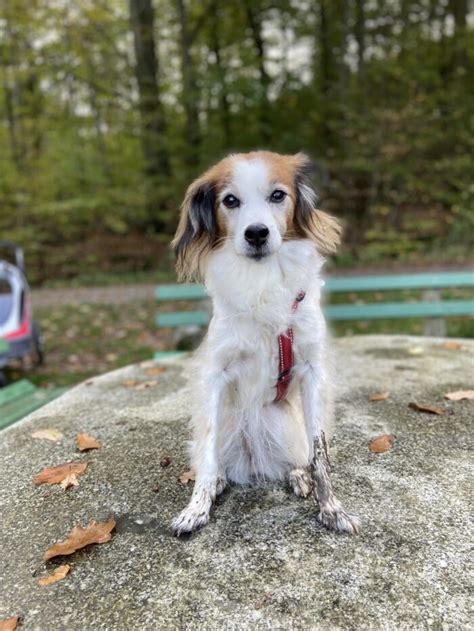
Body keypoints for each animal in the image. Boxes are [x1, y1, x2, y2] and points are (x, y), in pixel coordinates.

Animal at [170, 151, 360, 536]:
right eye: (230, 201)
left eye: (277, 195)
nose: (256, 233)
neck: (262, 280)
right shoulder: (215, 374)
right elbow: (208, 453)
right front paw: (196, 508)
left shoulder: (312, 371)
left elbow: (319, 452)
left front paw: (331, 508)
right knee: (214, 459)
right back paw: (219, 482)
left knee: (300, 456)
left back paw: (298, 475)